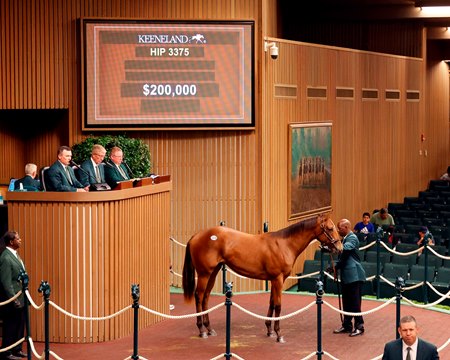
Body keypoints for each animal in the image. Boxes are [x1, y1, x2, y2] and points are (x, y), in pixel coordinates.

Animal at [182, 214, 342, 344]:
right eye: (330, 228)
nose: (340, 248)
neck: (284, 245)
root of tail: (195, 236)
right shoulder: (278, 279)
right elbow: (278, 305)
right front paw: (279, 334)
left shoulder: (275, 280)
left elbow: (271, 302)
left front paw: (270, 330)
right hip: (204, 274)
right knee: (199, 296)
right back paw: (202, 331)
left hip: (213, 273)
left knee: (206, 297)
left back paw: (209, 329)